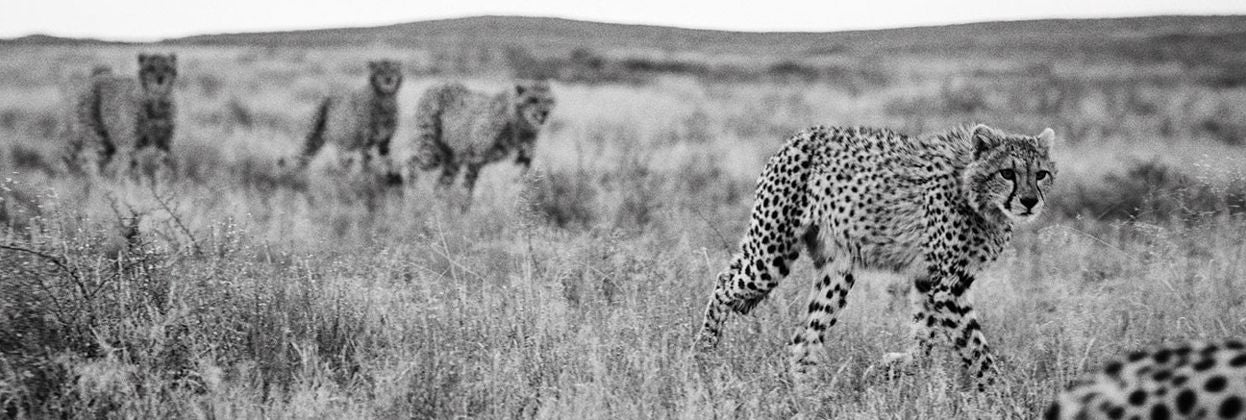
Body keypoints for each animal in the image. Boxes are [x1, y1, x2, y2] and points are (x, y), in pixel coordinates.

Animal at [408, 79, 555, 194]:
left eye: (548, 100)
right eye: (533, 100)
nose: (545, 112)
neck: (519, 122)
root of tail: (437, 85)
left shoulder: (523, 160)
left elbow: (517, 187)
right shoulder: (476, 157)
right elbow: (467, 188)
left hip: (452, 158)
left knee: (441, 183)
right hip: (431, 153)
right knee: (411, 162)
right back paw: (410, 195)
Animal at [693, 124, 1057, 389]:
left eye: (1041, 174)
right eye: (1007, 172)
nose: (1029, 201)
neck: (975, 194)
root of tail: (800, 136)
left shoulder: (929, 280)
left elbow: (925, 339)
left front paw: (891, 367)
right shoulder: (949, 286)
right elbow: (975, 347)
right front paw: (999, 395)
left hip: (837, 271)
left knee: (805, 333)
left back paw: (806, 391)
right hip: (771, 254)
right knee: (724, 283)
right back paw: (702, 354)